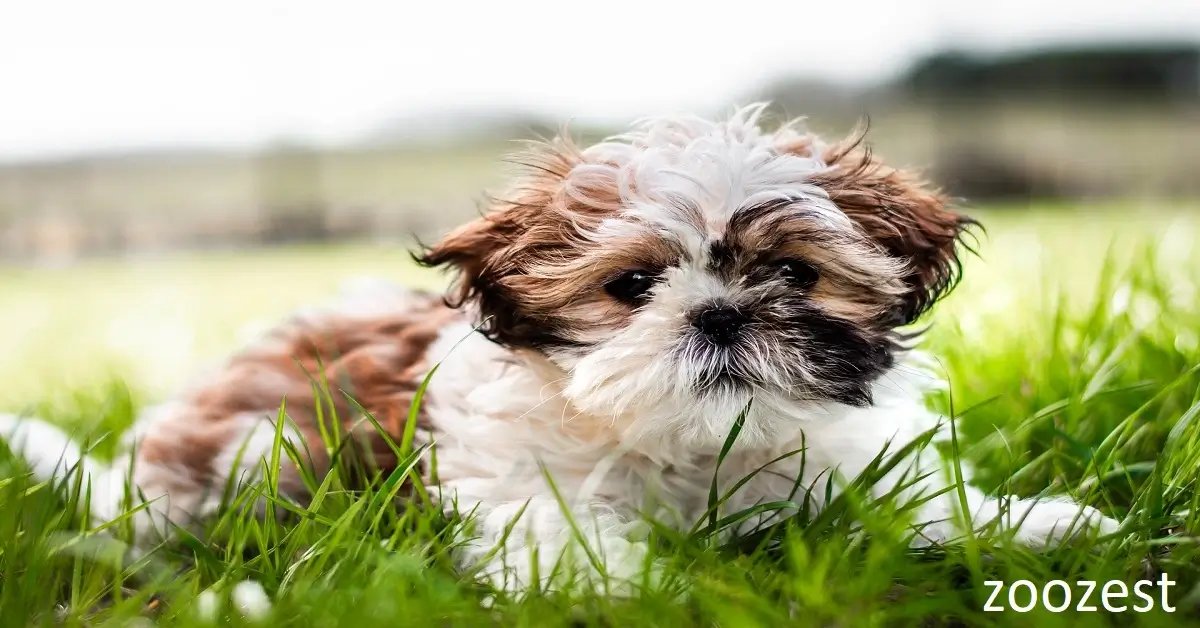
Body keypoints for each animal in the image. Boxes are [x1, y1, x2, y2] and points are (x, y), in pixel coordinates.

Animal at [4, 104, 1118, 600]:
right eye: (631, 287)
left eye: (794, 274)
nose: (720, 316)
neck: (699, 444)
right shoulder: (514, 480)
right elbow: (563, 539)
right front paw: (639, 585)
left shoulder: (845, 467)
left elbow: (913, 506)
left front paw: (1036, 523)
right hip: (260, 449)